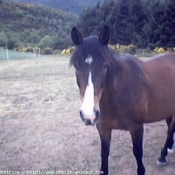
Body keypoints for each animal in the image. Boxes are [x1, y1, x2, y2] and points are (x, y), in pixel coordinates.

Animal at [69, 25, 175, 175]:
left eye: (105, 66)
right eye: (76, 66)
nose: (89, 115)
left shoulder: (136, 128)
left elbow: (137, 153)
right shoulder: (103, 128)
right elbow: (104, 154)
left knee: (171, 128)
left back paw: (163, 155)